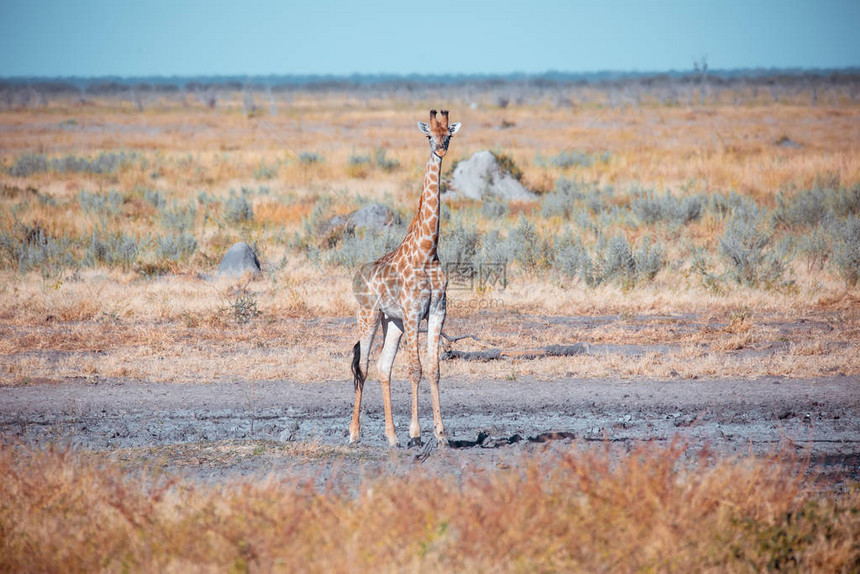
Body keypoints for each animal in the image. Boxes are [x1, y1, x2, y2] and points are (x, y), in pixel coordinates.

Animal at [348, 109, 460, 450]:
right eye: (428, 135)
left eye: (449, 134)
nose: (440, 149)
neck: (428, 251)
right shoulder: (413, 312)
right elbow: (415, 369)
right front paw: (416, 432)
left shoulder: (437, 311)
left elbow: (434, 369)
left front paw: (441, 434)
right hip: (369, 315)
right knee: (363, 366)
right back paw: (354, 433)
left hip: (392, 322)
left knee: (383, 367)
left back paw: (391, 436)